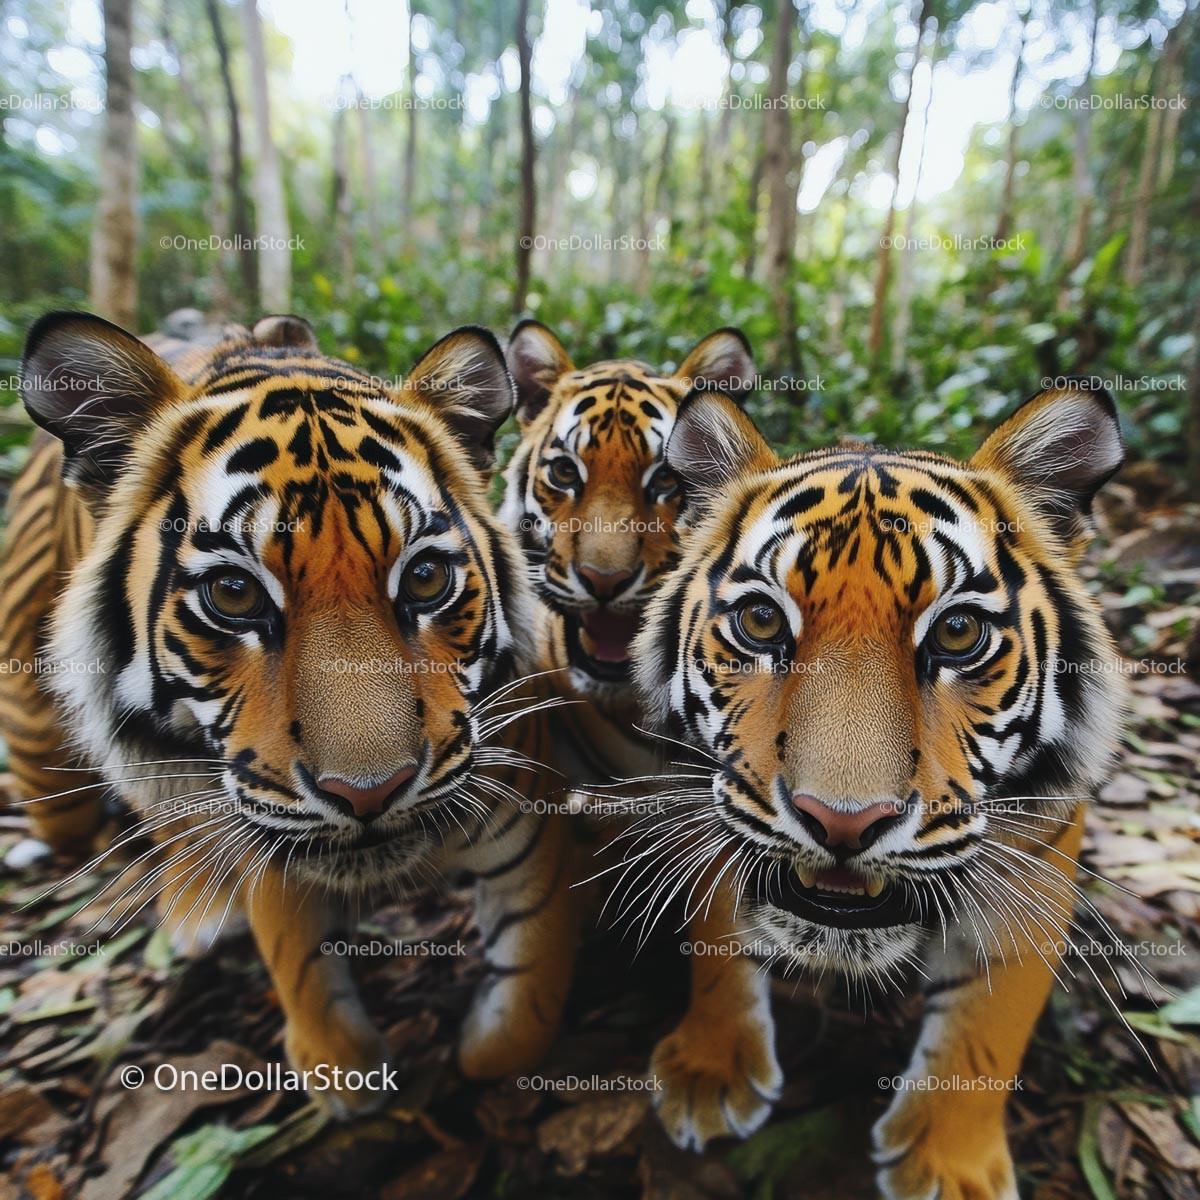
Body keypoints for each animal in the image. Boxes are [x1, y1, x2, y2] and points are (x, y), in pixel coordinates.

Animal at [0, 310, 580, 1113]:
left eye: (426, 578)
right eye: (234, 594)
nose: (369, 794)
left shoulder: (525, 814)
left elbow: (526, 1003)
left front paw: (481, 1054)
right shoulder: (257, 814)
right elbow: (292, 949)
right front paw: (341, 1068)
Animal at [630, 380, 1127, 1196]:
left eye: (957, 633)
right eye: (761, 620)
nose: (841, 821)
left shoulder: (1037, 861)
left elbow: (989, 1025)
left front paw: (951, 1168)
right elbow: (718, 940)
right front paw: (708, 1071)